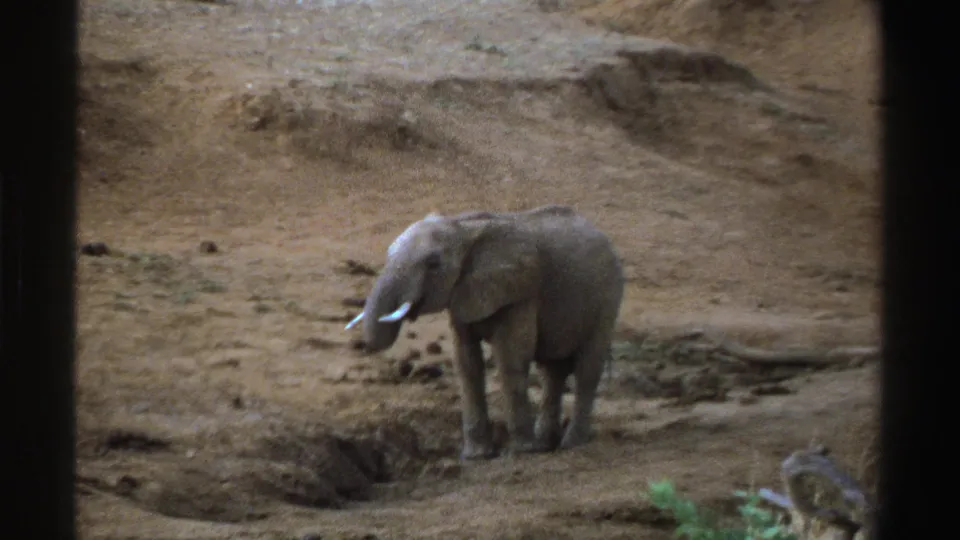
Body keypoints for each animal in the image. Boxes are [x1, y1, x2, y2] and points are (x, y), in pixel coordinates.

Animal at [344, 204, 625, 460]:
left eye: (433, 264)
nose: (365, 345)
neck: (462, 228)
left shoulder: (521, 291)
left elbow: (510, 358)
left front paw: (522, 451)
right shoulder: (462, 292)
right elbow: (467, 363)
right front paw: (477, 456)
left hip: (608, 297)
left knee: (587, 368)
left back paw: (571, 443)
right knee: (552, 370)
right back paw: (547, 443)